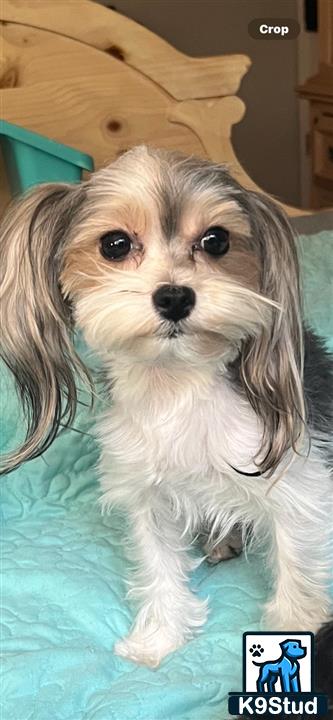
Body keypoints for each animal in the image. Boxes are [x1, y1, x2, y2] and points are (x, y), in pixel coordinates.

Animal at [0, 148, 332, 668]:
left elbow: (295, 560)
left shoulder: (298, 483)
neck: (176, 383)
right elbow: (157, 566)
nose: (175, 295)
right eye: (114, 244)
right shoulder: (147, 494)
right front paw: (158, 637)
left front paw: (299, 628)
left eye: (216, 240)